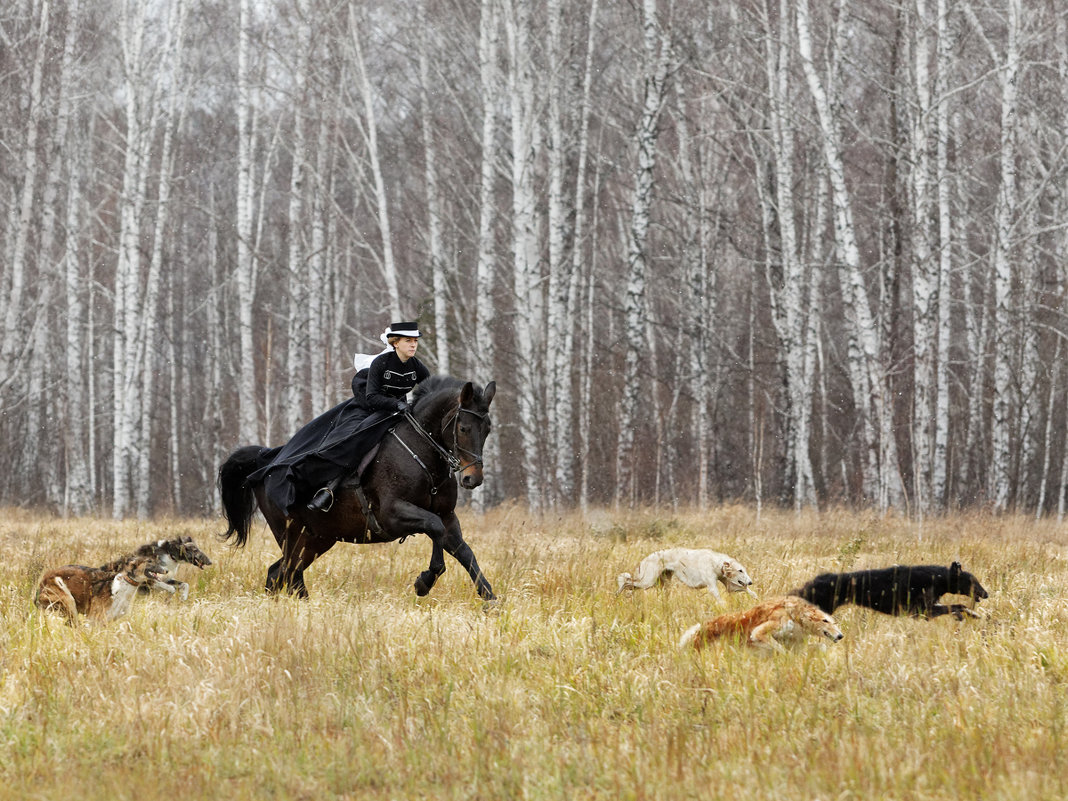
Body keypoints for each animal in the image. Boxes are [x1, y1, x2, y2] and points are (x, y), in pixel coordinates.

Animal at [220, 375, 499, 602]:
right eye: (463, 428)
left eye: (487, 429)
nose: (473, 478)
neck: (421, 453)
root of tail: (265, 462)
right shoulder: (393, 515)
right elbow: (434, 528)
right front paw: (424, 582)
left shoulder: (448, 517)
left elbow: (466, 553)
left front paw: (490, 600)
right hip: (293, 535)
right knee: (288, 574)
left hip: (316, 540)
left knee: (280, 574)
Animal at [615, 551, 756, 602]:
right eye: (740, 570)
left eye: (744, 570)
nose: (751, 582)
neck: (715, 563)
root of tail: (646, 558)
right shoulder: (711, 585)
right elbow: (719, 598)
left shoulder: (729, 585)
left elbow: (744, 590)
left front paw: (755, 596)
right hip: (647, 580)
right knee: (625, 580)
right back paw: (618, 593)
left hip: (663, 583)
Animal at [790, 563, 986, 619]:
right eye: (971, 581)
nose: (986, 593)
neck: (936, 578)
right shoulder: (921, 611)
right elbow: (955, 606)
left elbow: (959, 606)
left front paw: (974, 615)